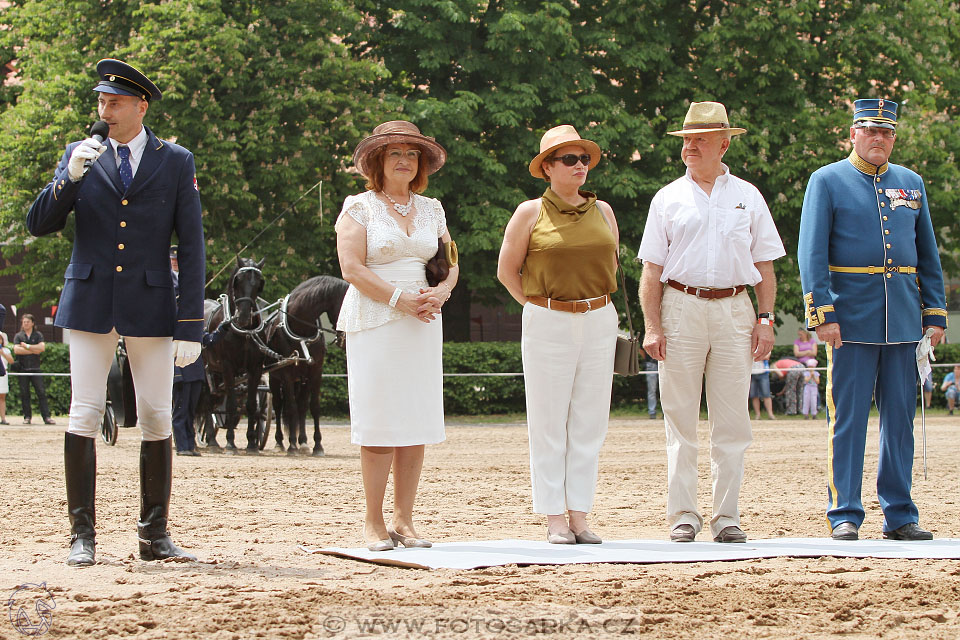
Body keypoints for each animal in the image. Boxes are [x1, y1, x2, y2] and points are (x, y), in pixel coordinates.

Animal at [200, 258, 266, 452]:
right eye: (238, 281)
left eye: (258, 284)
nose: (243, 317)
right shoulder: (228, 367)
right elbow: (230, 404)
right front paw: (230, 442)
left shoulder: (255, 368)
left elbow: (251, 405)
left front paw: (251, 442)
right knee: (206, 402)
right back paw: (212, 440)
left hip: (214, 372)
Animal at [264, 276, 346, 456]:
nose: (343, 340)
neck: (302, 330)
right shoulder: (287, 374)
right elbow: (291, 407)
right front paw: (292, 446)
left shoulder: (315, 372)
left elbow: (312, 407)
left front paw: (317, 445)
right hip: (274, 377)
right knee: (279, 406)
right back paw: (280, 442)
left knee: (301, 406)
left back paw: (302, 441)